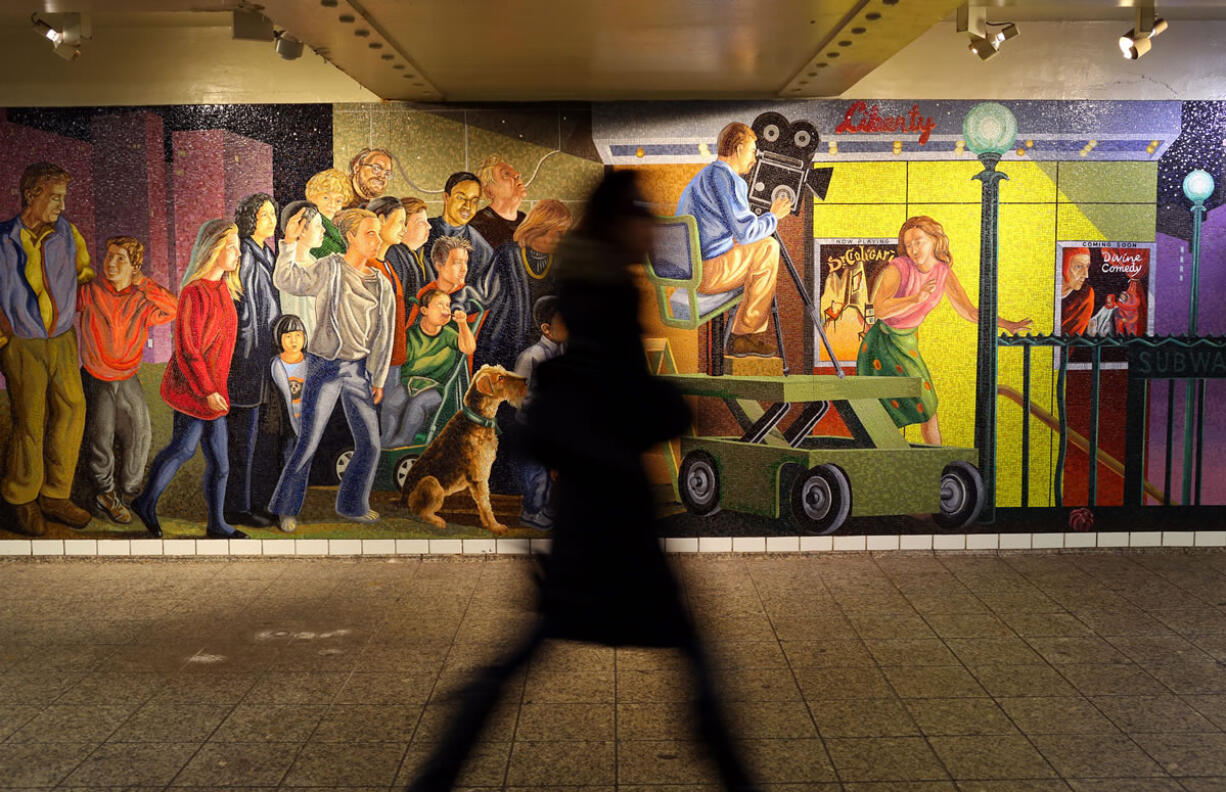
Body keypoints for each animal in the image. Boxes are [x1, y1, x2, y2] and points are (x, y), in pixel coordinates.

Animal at [397, 365, 522, 534]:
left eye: (502, 372)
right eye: (500, 378)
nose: (525, 380)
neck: (478, 418)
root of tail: (402, 500)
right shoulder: (479, 477)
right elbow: (486, 504)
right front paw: (495, 526)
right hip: (431, 483)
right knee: (419, 512)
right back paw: (438, 521)